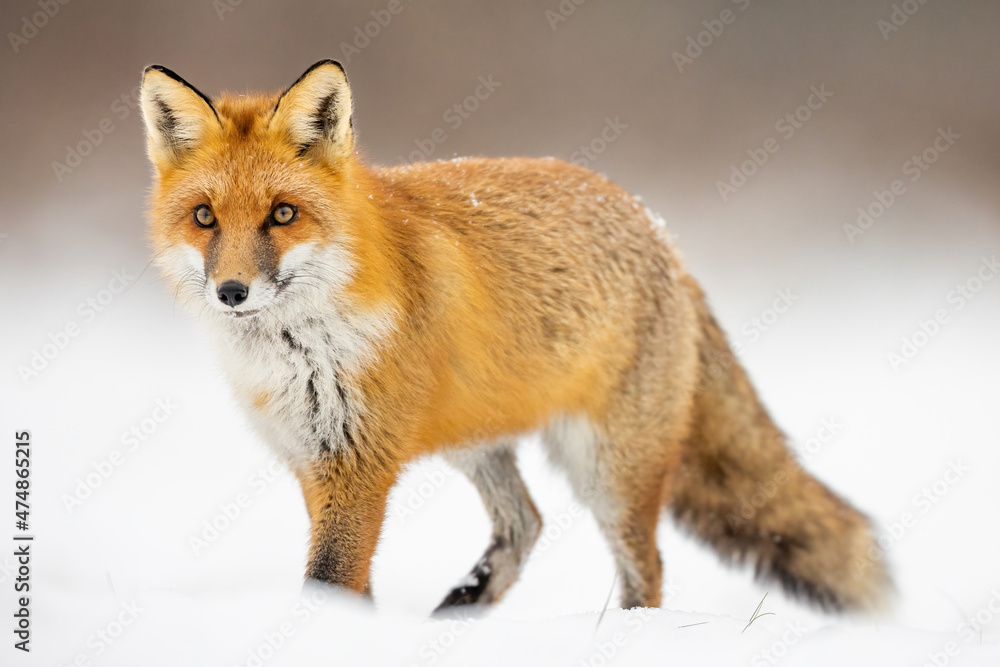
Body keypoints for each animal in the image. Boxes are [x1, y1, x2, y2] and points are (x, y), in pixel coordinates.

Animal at [139, 60, 891, 613]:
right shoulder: (313, 460)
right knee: (527, 522)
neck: (300, 350)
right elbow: (347, 584)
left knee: (645, 565)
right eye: (204, 217)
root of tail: (660, 232)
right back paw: (467, 606)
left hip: (609, 467)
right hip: (479, 438)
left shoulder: (359, 465)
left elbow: (328, 579)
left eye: (283, 214)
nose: (232, 291)